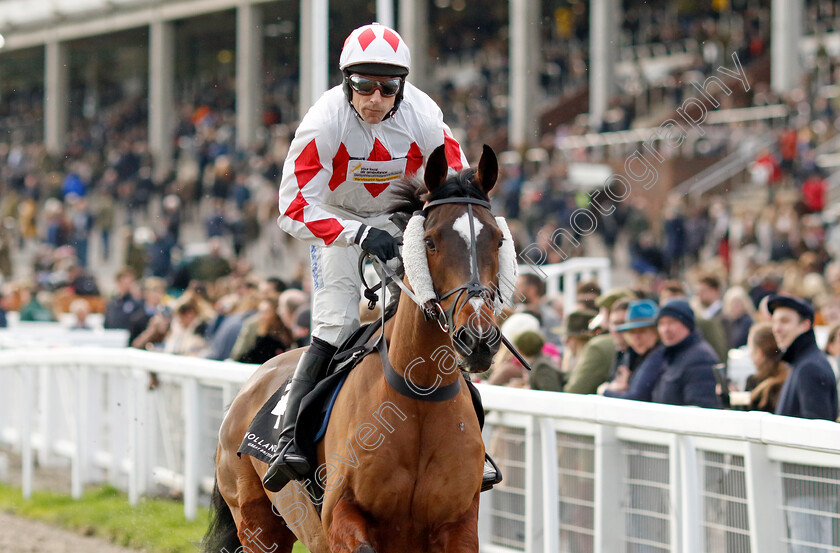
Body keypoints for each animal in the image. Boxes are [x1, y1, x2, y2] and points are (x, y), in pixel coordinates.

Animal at [206, 144, 516, 552]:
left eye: (498, 239)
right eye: (430, 241)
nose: (477, 338)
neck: (419, 398)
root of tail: (252, 382)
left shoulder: (459, 523)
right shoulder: (341, 514)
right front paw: (374, 238)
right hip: (257, 523)